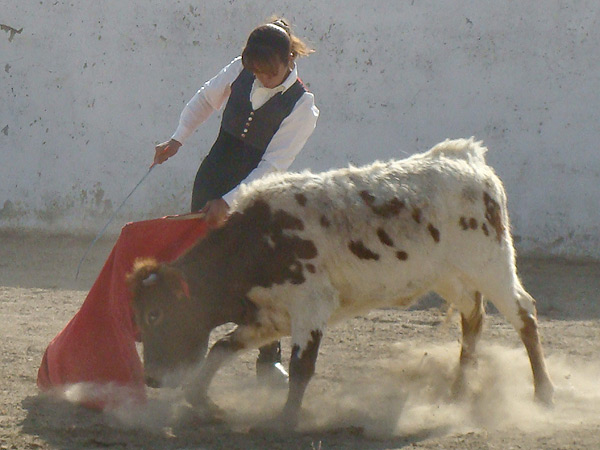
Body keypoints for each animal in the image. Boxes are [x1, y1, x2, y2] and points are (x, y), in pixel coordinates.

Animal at [126, 139, 552, 428]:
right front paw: (203, 402)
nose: (151, 378)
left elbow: (301, 366)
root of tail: (468, 160)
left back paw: (543, 394)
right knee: (473, 317)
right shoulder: (268, 316)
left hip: (492, 263)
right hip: (450, 276)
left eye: (155, 313)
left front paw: (285, 420)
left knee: (523, 314)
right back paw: (458, 391)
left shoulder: (311, 305)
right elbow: (222, 347)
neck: (255, 241)